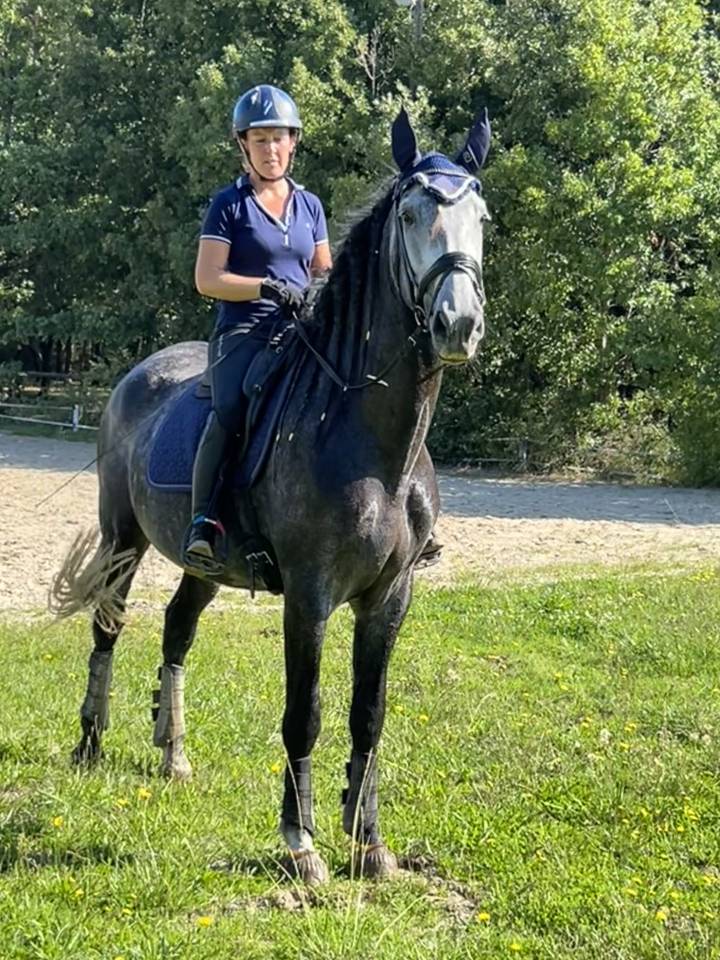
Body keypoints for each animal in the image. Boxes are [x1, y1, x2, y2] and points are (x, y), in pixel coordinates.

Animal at [52, 107, 491, 885]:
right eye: (411, 214)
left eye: (482, 217)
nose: (458, 325)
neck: (368, 440)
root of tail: (138, 374)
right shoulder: (309, 597)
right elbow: (304, 713)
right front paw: (301, 844)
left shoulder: (390, 596)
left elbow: (369, 713)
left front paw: (369, 844)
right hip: (121, 537)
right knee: (109, 624)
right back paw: (90, 744)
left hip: (203, 562)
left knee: (176, 629)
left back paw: (173, 754)